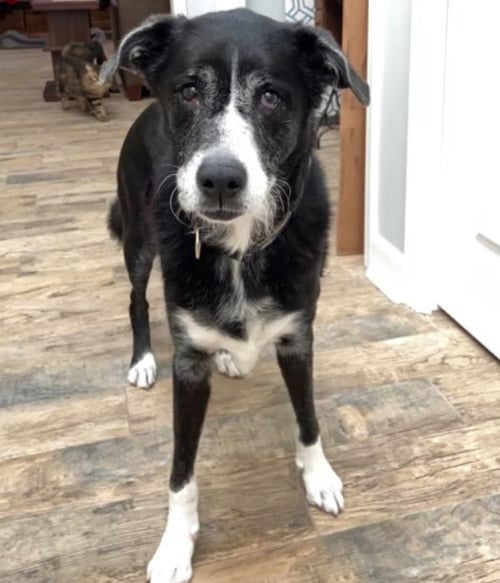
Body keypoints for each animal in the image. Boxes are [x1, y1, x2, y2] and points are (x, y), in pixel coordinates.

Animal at [102, 6, 368, 580]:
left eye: (271, 95)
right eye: (188, 91)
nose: (220, 178)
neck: (241, 247)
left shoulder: (298, 336)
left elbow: (308, 418)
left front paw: (319, 476)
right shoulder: (188, 364)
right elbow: (181, 470)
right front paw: (174, 545)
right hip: (137, 238)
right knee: (136, 298)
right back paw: (142, 360)